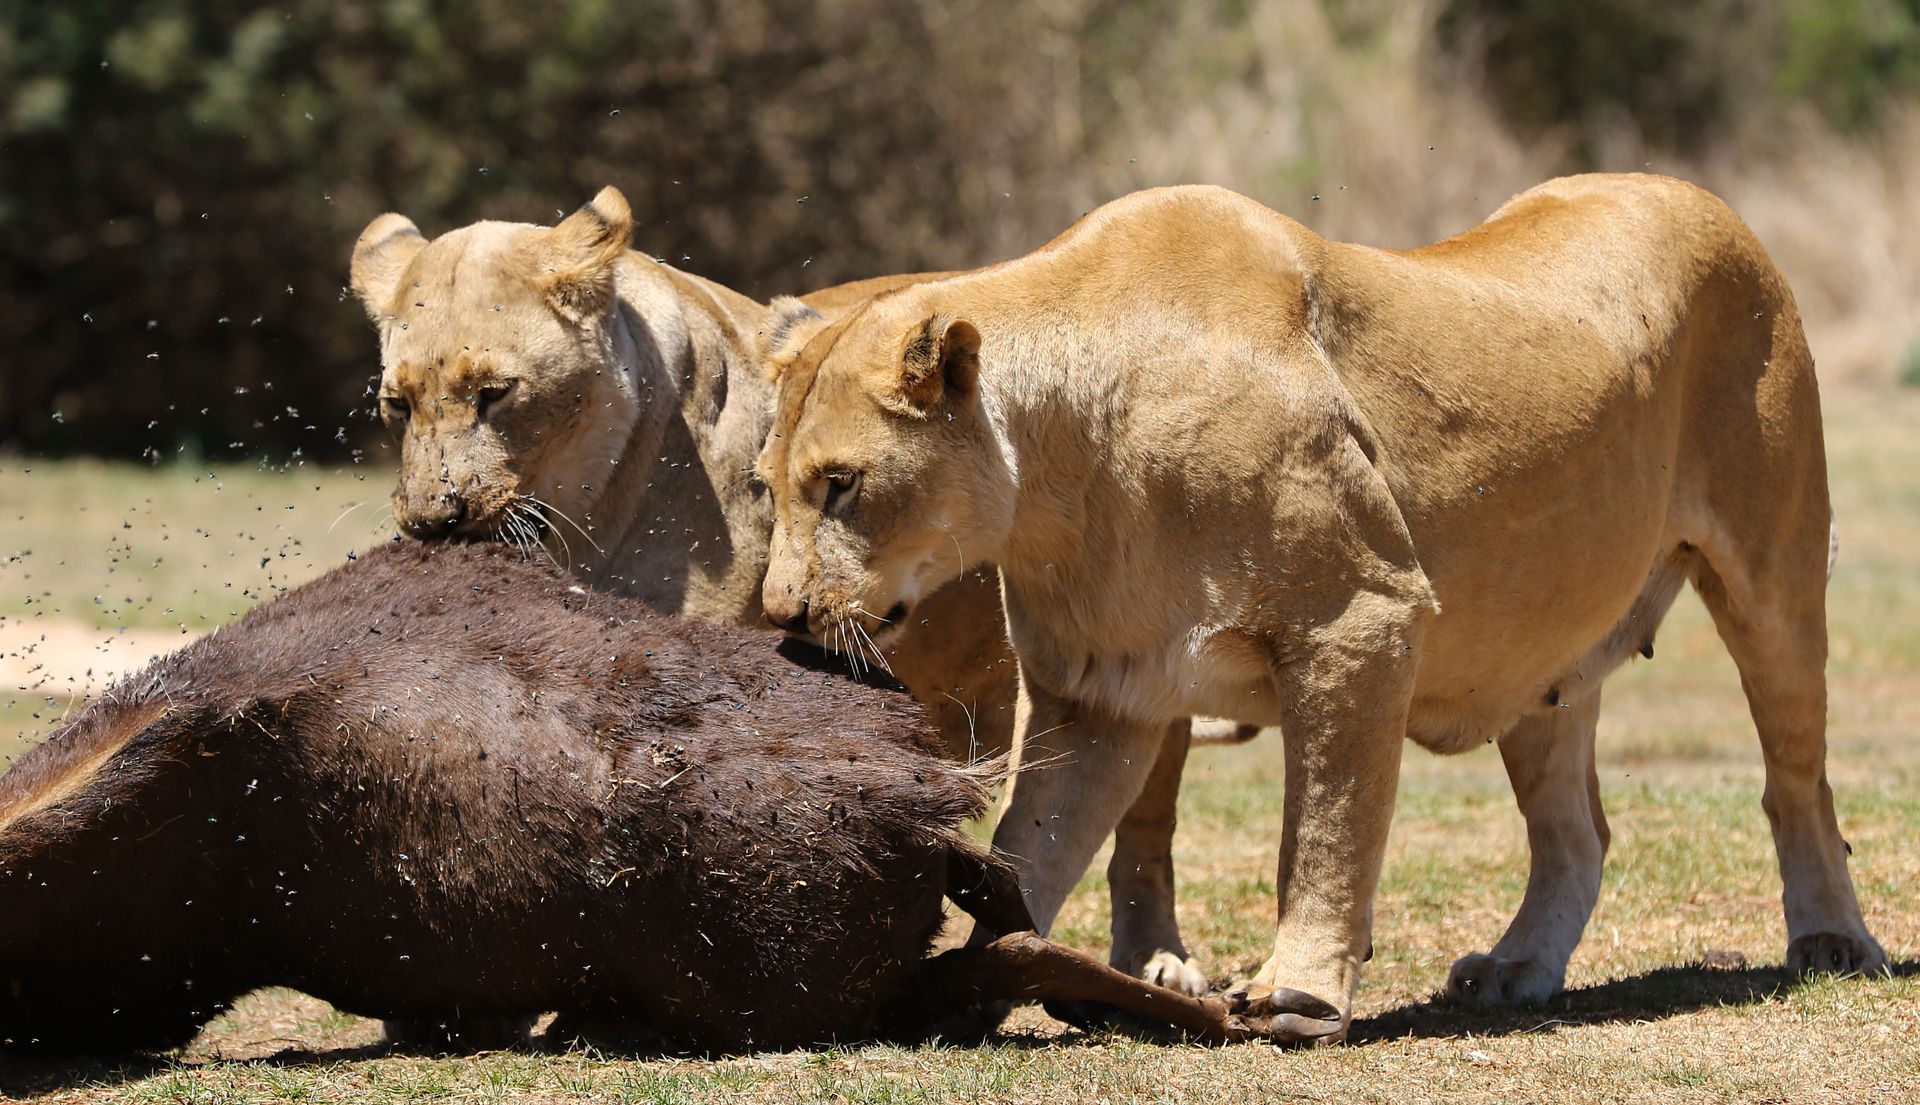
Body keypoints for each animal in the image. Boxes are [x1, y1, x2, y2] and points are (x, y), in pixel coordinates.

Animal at [347, 188, 1218, 996]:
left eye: (496, 392)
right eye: (396, 404)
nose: (434, 522)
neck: (591, 516)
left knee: (1146, 819)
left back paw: (1159, 958)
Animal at [754, 175, 1888, 1043]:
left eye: (842, 485)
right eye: (767, 487)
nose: (785, 617)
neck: (1056, 479)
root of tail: (1705, 197)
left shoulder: (1362, 617)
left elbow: (1326, 825)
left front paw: (1299, 989)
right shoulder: (1103, 688)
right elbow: (1037, 844)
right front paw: (983, 976)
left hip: (1775, 576)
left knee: (1797, 782)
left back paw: (1834, 940)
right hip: (1541, 658)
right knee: (1578, 833)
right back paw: (1519, 966)